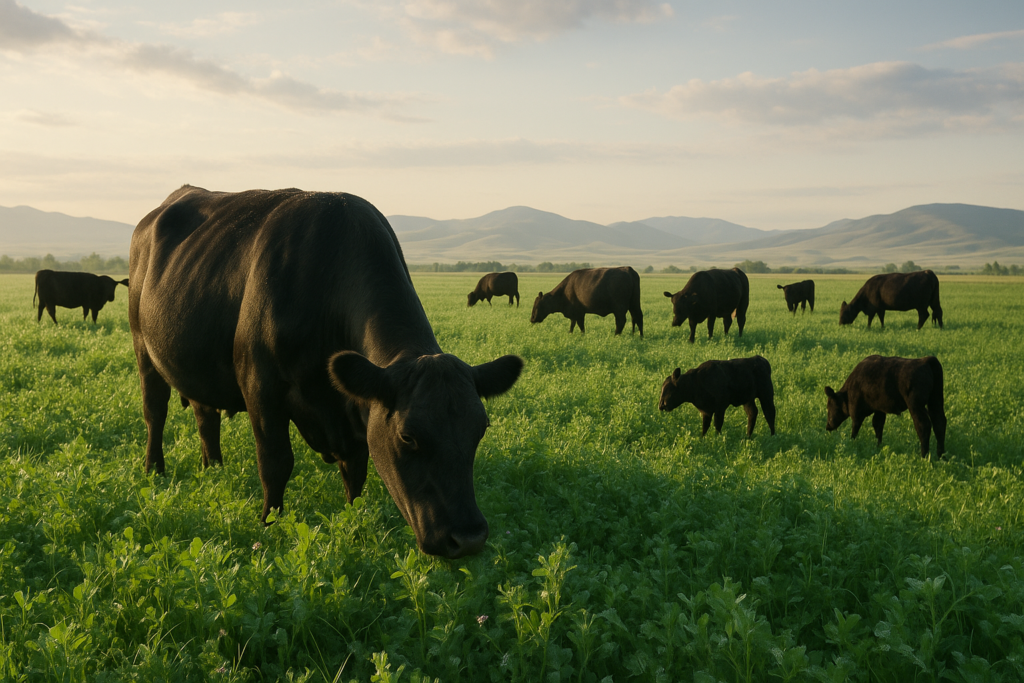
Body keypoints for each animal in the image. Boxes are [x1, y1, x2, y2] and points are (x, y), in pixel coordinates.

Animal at [129, 185, 524, 558]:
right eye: (408, 437)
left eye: (480, 430)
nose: (468, 538)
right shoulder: (259, 386)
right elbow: (275, 463)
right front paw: (269, 525)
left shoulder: (355, 412)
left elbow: (357, 470)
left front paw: (353, 520)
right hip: (142, 347)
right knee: (155, 412)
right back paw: (154, 471)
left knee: (205, 416)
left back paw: (214, 469)